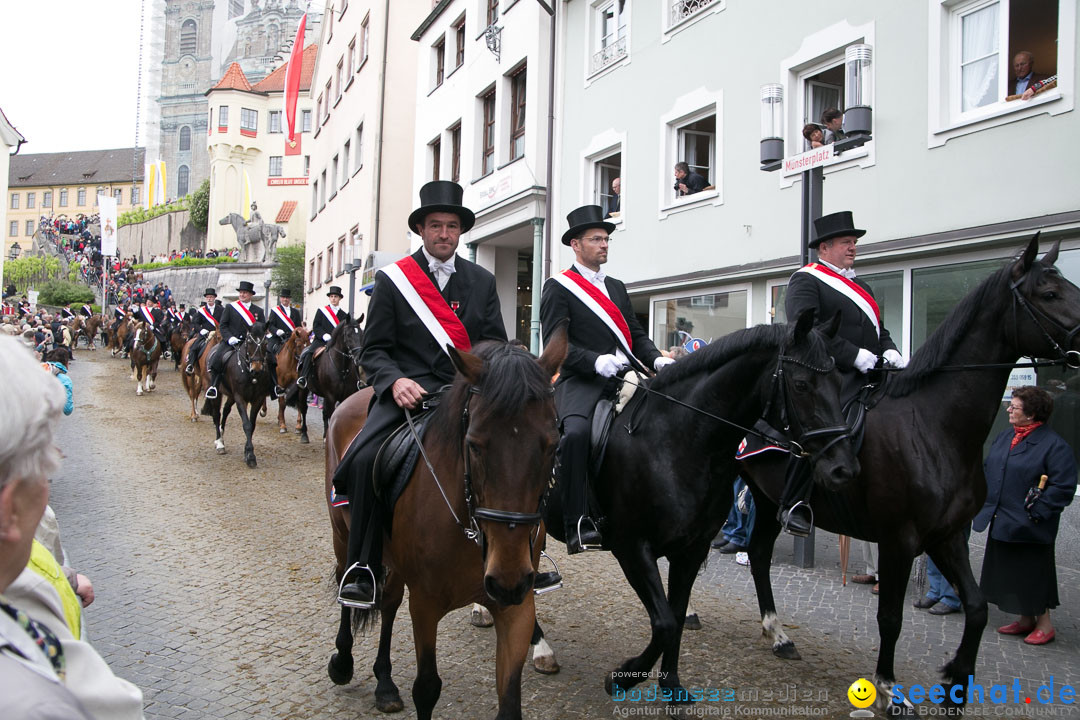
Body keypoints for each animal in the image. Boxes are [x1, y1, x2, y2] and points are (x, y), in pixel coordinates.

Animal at [200, 321, 274, 468]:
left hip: (231, 395)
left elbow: (252, 425)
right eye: (249, 341)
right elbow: (247, 425)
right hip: (217, 393)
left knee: (226, 410)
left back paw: (222, 431)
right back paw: (220, 443)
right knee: (217, 414)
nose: (256, 369)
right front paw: (250, 456)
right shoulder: (240, 398)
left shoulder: (258, 399)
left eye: (265, 343)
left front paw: (247, 452)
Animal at [324, 334, 570, 716]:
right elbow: (426, 688)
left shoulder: (517, 608)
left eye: (552, 445)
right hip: (343, 535)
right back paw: (343, 660)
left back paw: (385, 684)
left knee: (389, 601)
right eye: (474, 445)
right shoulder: (425, 605)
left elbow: (510, 700)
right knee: (344, 581)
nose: (508, 579)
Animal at [533, 310, 859, 699]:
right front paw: (623, 676)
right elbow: (663, 622)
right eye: (801, 385)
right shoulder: (632, 547)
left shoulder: (691, 549)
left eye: (840, 382)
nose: (843, 468)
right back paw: (535, 645)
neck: (679, 440)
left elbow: (675, 616)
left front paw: (671, 685)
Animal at [743, 237, 1080, 716]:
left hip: (767, 498)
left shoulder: (947, 534)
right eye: (1049, 294)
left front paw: (956, 684)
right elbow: (891, 617)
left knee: (757, 553)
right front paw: (888, 690)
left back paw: (779, 635)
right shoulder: (899, 538)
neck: (935, 425)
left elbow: (977, 606)